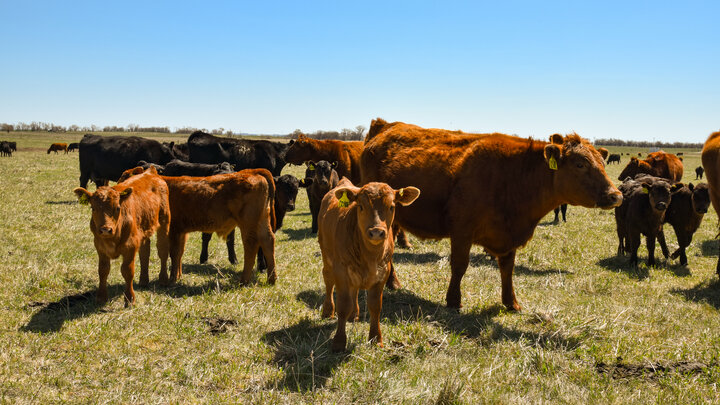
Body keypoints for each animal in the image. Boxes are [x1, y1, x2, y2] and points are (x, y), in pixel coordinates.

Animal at [73, 166, 170, 306]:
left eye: (118, 208)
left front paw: (129, 298)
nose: (105, 230)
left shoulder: (130, 246)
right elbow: (103, 270)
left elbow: (127, 271)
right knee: (145, 252)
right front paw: (101, 297)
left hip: (164, 220)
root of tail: (150, 171)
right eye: (93, 208)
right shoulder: (100, 247)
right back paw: (143, 280)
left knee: (162, 250)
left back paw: (163, 279)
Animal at [318, 178, 420, 352]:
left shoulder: (382, 273)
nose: (377, 232)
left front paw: (375, 339)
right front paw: (339, 342)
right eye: (361, 206)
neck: (370, 257)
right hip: (326, 255)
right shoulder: (341, 271)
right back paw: (328, 310)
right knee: (328, 280)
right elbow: (343, 306)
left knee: (354, 290)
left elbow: (374, 306)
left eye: (391, 206)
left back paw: (354, 315)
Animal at [361, 119, 622, 310]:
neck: (514, 175)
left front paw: (511, 302)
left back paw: (392, 282)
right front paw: (453, 301)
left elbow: (507, 268)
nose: (616, 195)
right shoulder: (462, 230)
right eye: (580, 164)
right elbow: (459, 265)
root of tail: (385, 125)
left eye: (602, 163)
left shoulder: (509, 234)